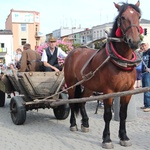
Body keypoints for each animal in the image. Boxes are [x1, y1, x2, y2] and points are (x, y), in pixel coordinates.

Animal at [63, 1, 142, 149]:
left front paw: (124, 136)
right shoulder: (108, 92)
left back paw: (85, 123)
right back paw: (73, 124)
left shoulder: (128, 91)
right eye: (122, 17)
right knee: (72, 101)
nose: (134, 42)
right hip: (71, 84)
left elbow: (123, 114)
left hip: (89, 86)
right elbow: (107, 115)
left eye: (139, 17)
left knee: (81, 101)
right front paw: (107, 139)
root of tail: (73, 51)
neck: (121, 62)